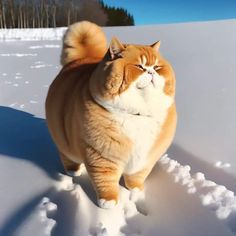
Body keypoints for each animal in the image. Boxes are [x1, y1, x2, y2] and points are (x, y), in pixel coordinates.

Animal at [45, 20, 176, 208]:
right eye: (139, 66)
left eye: (157, 67)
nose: (151, 72)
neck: (137, 113)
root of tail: (78, 59)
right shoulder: (101, 155)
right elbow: (105, 180)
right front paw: (108, 202)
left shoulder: (146, 157)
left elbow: (137, 175)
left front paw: (135, 189)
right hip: (63, 138)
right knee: (66, 155)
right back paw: (74, 170)